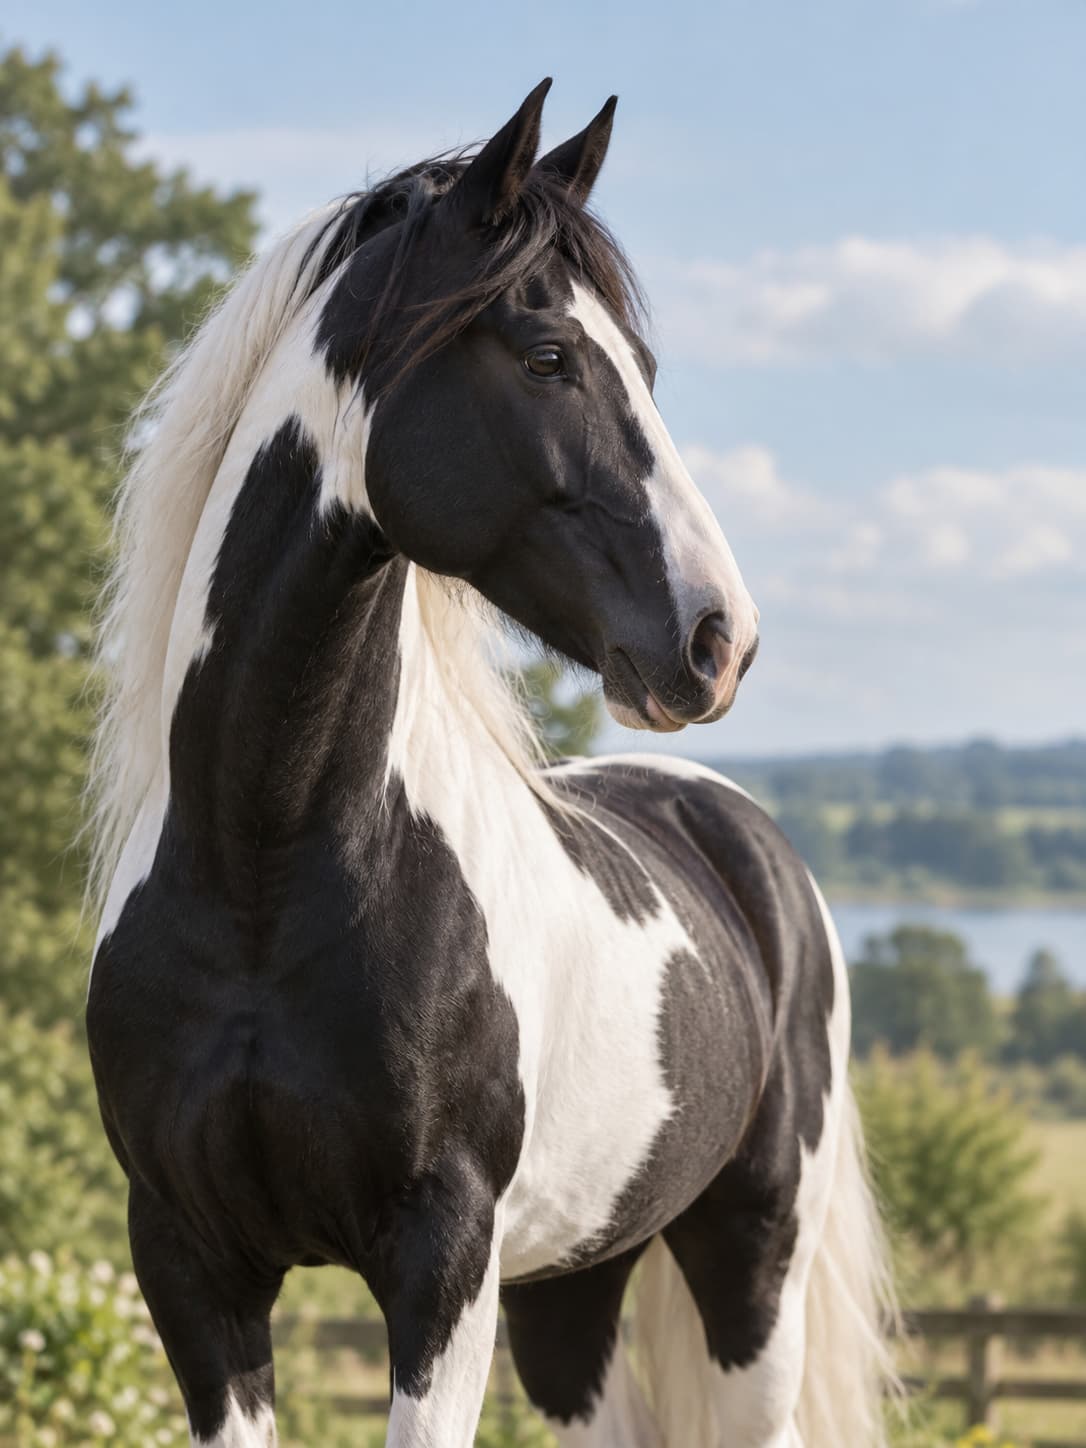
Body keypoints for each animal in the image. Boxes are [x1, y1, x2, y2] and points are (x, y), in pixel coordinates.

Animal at [86, 80, 893, 1448]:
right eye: (547, 356)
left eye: (645, 369)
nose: (720, 638)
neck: (260, 874)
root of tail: (744, 837)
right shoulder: (192, 1266)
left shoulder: (442, 1264)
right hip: (573, 1284)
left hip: (751, 1261)